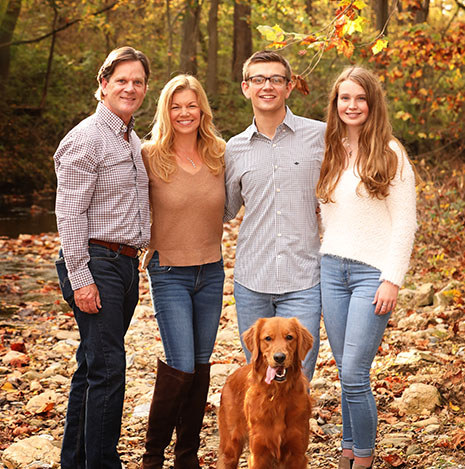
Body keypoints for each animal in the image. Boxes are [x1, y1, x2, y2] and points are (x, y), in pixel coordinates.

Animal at [217, 314, 312, 468]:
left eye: (289, 337)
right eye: (267, 338)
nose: (279, 357)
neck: (278, 394)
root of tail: (231, 376)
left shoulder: (297, 454)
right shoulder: (258, 454)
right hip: (230, 447)